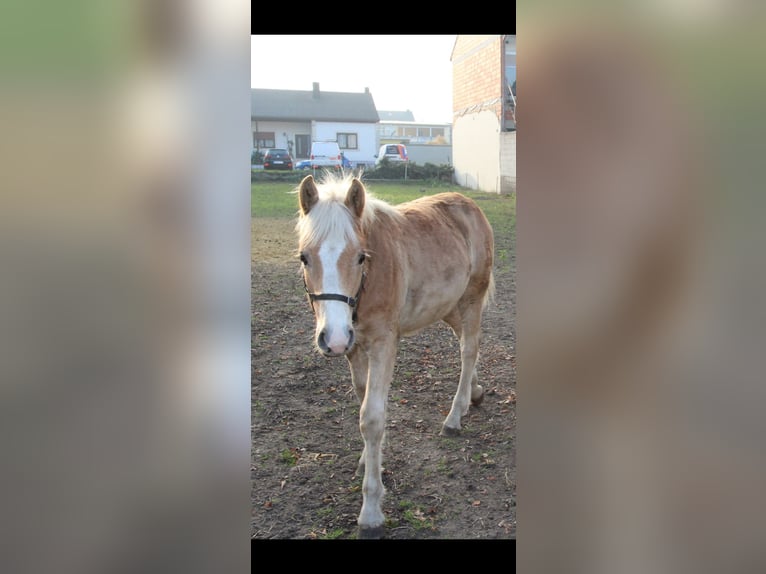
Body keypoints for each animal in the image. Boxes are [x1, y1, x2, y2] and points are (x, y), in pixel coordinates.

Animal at [294, 173, 498, 544]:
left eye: (361, 257)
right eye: (304, 257)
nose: (333, 339)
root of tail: (469, 203)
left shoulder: (384, 343)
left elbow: (371, 417)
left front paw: (371, 511)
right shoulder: (354, 347)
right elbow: (363, 401)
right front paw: (367, 458)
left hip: (472, 298)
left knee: (469, 349)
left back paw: (454, 417)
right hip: (447, 306)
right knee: (467, 341)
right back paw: (473, 395)